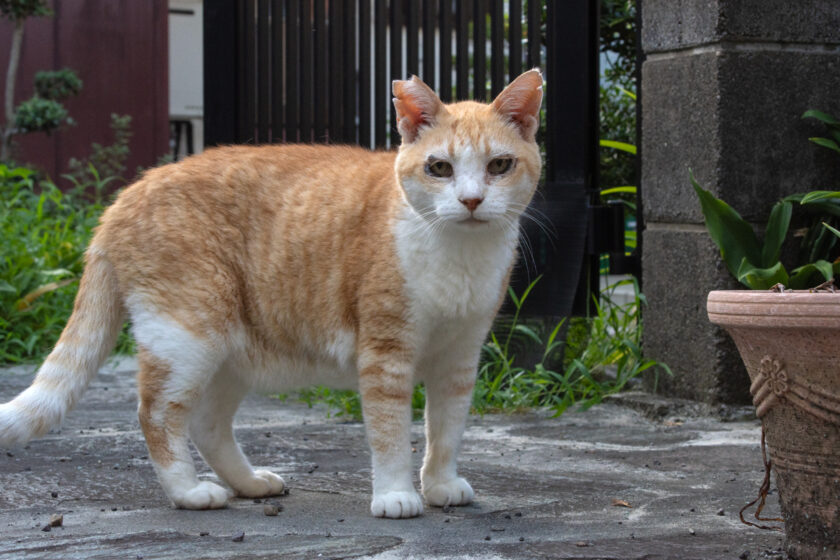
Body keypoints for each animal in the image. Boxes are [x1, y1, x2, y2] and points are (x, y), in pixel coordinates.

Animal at [0, 71, 544, 520]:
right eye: (439, 168)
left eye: (499, 165)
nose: (471, 201)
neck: (459, 258)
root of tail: (126, 195)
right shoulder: (386, 354)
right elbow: (390, 434)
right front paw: (396, 495)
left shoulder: (459, 357)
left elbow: (446, 430)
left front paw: (440, 484)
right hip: (188, 335)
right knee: (157, 414)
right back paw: (189, 492)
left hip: (227, 349)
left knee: (207, 423)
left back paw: (248, 483)